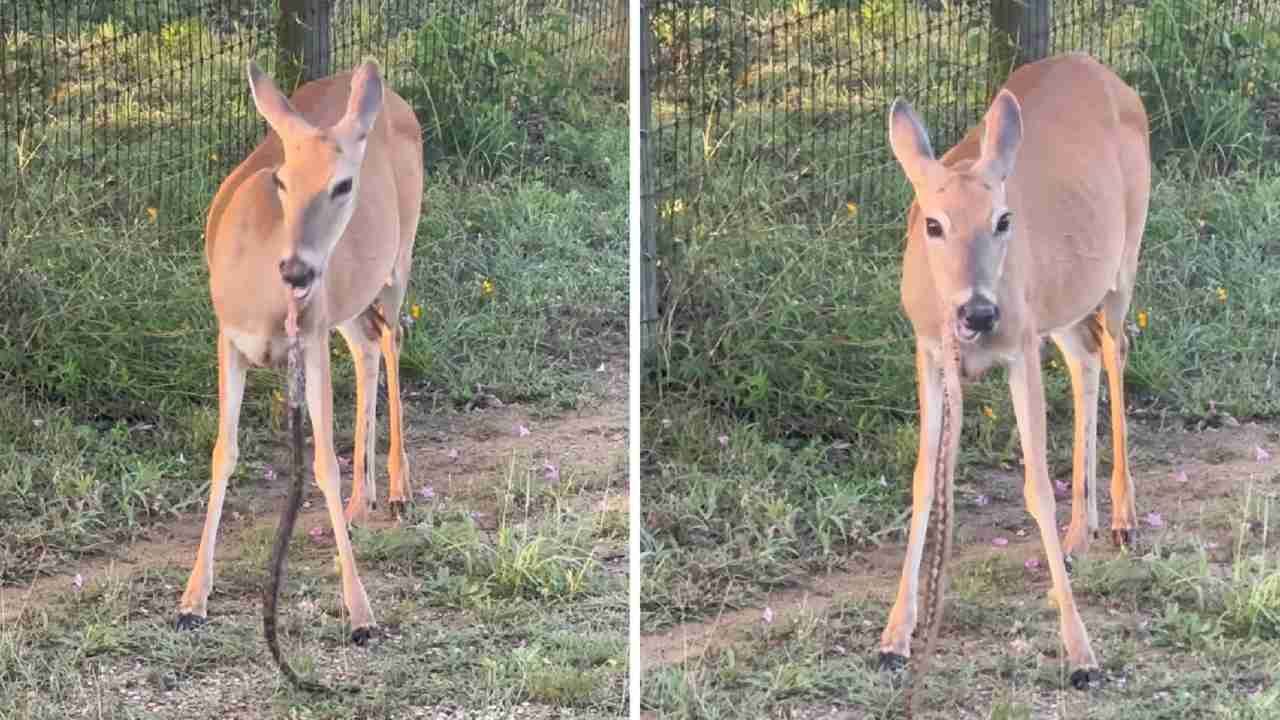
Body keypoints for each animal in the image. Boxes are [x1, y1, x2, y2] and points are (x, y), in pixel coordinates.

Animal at [175, 58, 422, 661]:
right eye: (282, 180)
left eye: (344, 183)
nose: (296, 269)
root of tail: (391, 99)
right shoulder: (228, 336)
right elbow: (223, 452)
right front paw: (193, 599)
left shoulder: (307, 339)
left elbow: (323, 463)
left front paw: (361, 615)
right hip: (347, 299)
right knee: (368, 345)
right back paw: (361, 502)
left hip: (398, 257)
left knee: (392, 339)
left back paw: (398, 490)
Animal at [880, 50, 1152, 707]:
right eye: (932, 224)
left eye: (1003, 219)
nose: (979, 313)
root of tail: (1103, 71)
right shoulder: (931, 351)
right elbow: (925, 481)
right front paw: (895, 638)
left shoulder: (1020, 346)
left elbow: (1035, 488)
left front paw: (1082, 655)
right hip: (1063, 303)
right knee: (1085, 358)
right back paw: (1082, 535)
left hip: (1122, 260)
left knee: (1116, 349)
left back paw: (1124, 520)